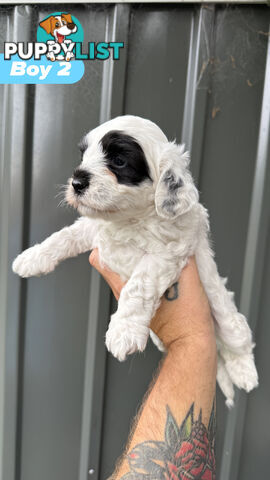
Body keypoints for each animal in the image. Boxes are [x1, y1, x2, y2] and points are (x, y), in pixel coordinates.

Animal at [12, 114, 258, 406]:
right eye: (84, 155)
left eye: (119, 161)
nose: (76, 183)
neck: (127, 220)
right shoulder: (94, 229)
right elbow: (64, 236)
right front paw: (31, 258)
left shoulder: (167, 252)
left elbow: (138, 286)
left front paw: (123, 331)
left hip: (227, 319)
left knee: (239, 344)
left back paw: (246, 375)